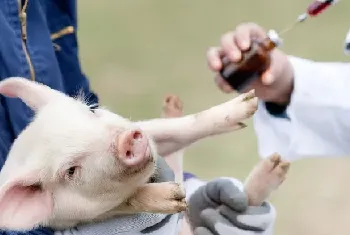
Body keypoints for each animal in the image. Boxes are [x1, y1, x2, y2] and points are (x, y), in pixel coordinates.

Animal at [0, 76, 258, 231]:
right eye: (71, 171)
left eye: (91, 111)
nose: (124, 140)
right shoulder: (75, 217)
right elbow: (128, 200)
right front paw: (175, 196)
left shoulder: (146, 131)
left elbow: (174, 129)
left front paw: (249, 102)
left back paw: (173, 105)